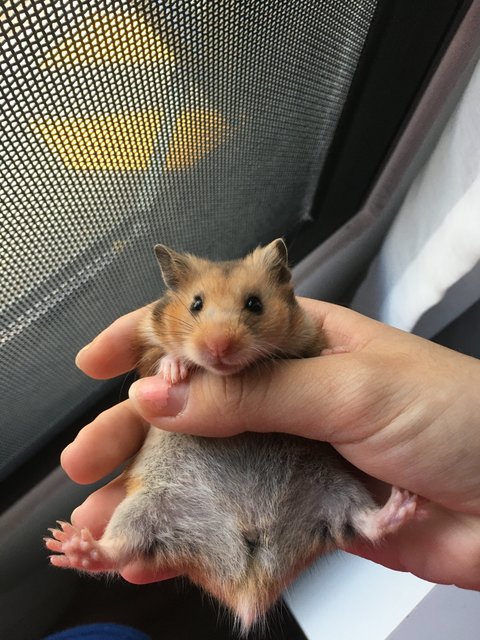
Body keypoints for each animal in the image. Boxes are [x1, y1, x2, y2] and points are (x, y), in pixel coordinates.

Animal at [47, 241, 418, 636]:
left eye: (254, 303)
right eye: (196, 304)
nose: (218, 348)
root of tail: (247, 582)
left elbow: (312, 350)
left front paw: (333, 353)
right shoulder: (146, 349)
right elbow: (161, 358)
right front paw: (175, 371)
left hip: (336, 489)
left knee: (365, 523)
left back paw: (404, 505)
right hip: (144, 510)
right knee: (117, 551)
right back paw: (67, 543)